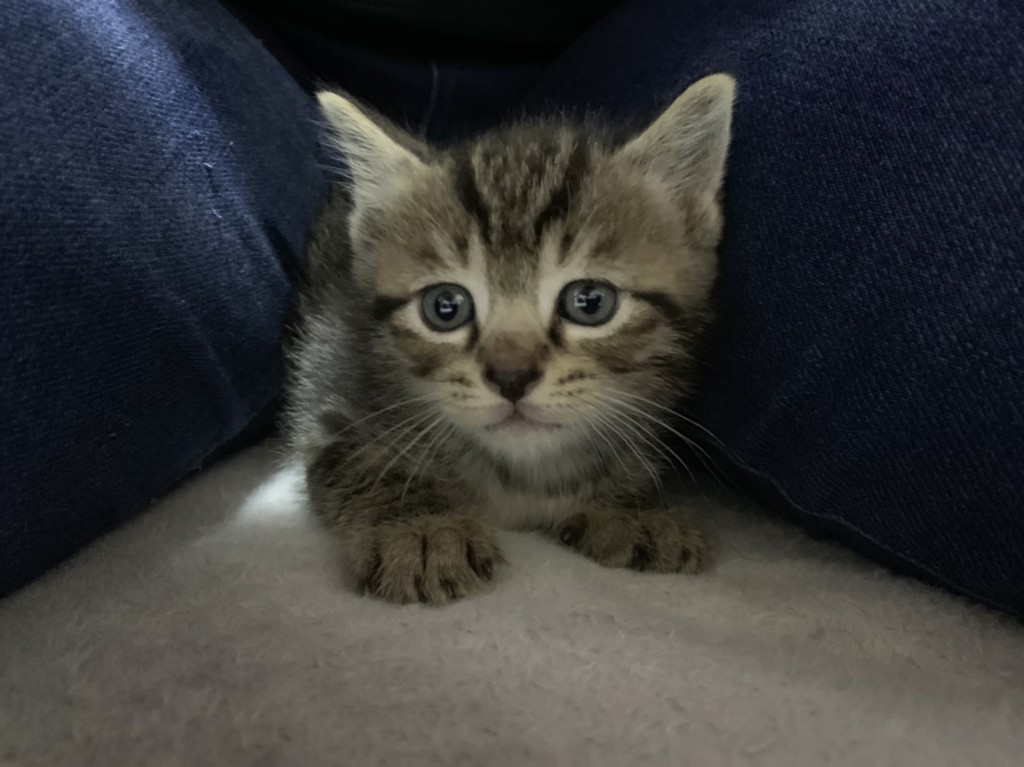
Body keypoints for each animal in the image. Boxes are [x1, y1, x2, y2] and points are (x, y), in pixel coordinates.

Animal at [286, 73, 736, 604]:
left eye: (590, 302)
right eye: (445, 307)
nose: (511, 376)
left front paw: (632, 508)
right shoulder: (330, 401)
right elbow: (365, 465)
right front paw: (421, 529)